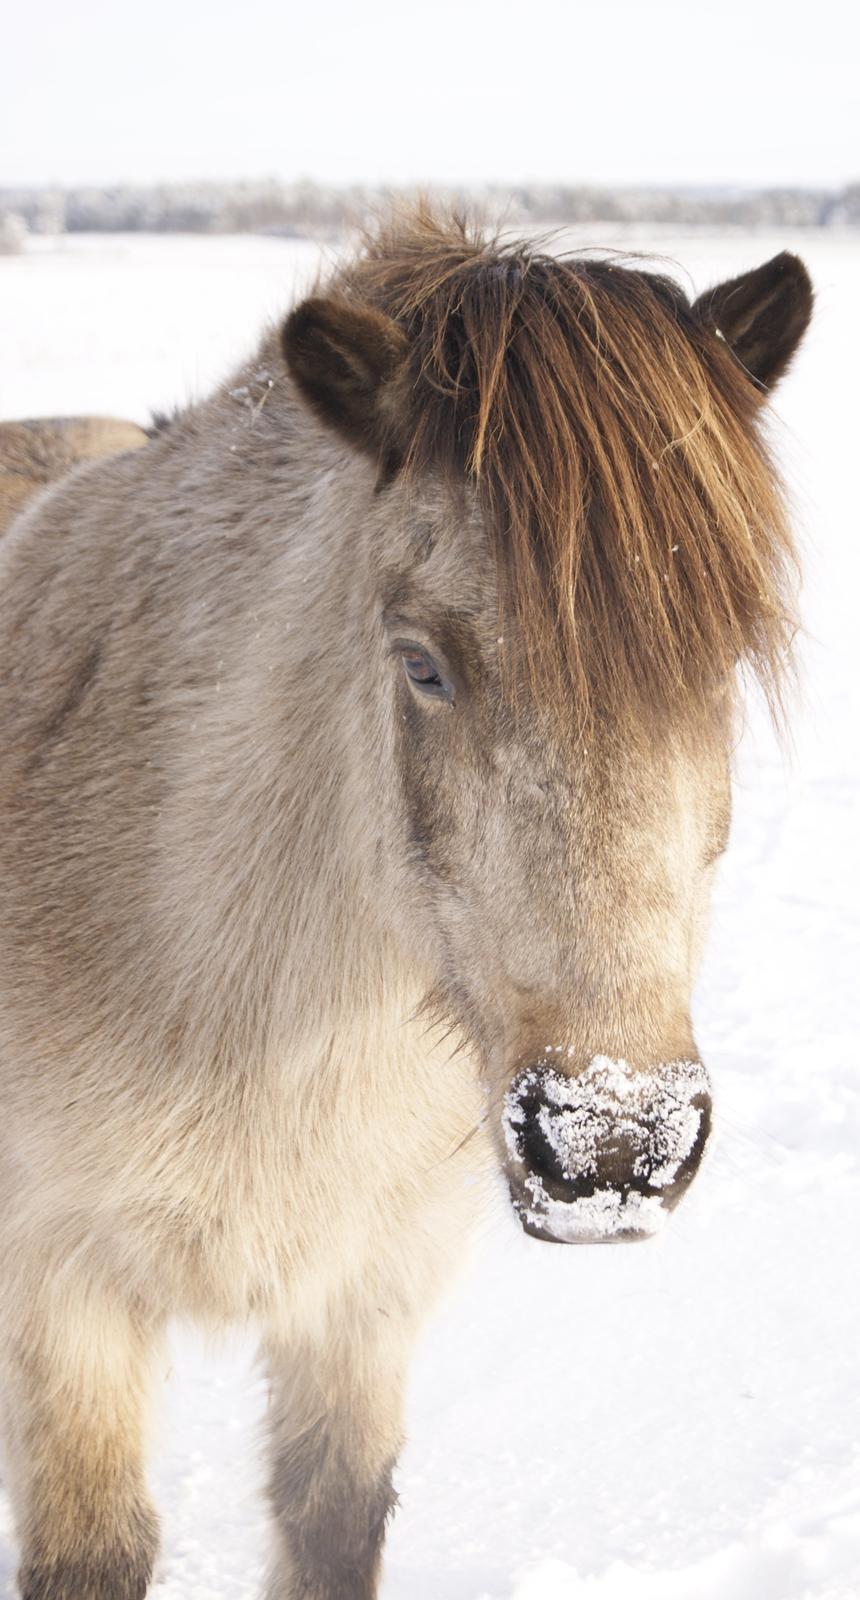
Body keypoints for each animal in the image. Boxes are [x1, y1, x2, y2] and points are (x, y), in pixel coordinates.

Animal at [0, 212, 808, 1600]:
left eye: (716, 665)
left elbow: (334, 1523)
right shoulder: (63, 1292)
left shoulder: (365, 1300)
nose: (613, 1144)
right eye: (421, 664)